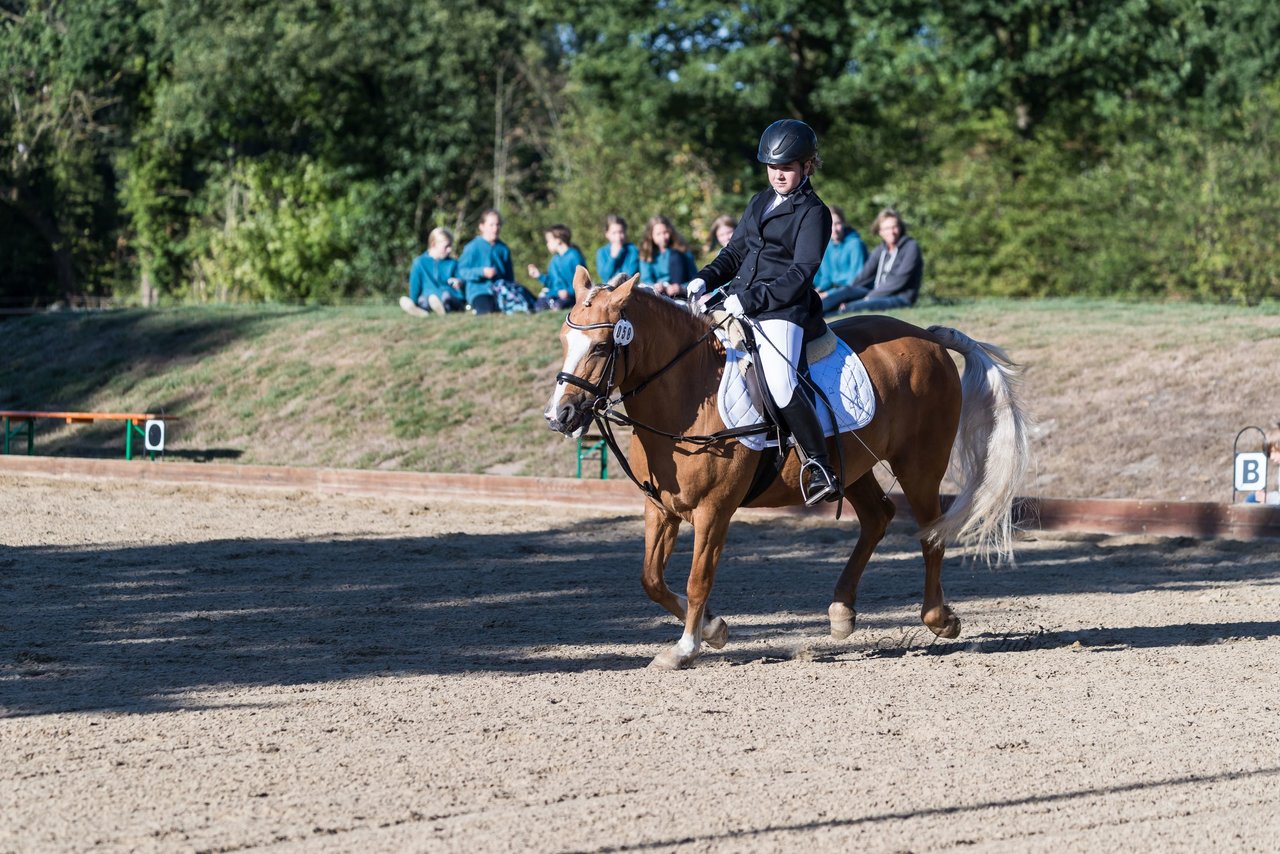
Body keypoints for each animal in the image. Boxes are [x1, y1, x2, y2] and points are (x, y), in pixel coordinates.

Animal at [540, 270, 1029, 670]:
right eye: (564, 342)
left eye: (601, 347)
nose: (559, 416)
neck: (686, 395)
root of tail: (925, 336)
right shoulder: (660, 508)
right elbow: (651, 580)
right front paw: (714, 629)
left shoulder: (714, 511)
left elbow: (698, 579)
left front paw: (686, 648)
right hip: (851, 465)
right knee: (878, 517)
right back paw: (841, 612)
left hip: (920, 465)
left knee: (930, 533)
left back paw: (939, 618)